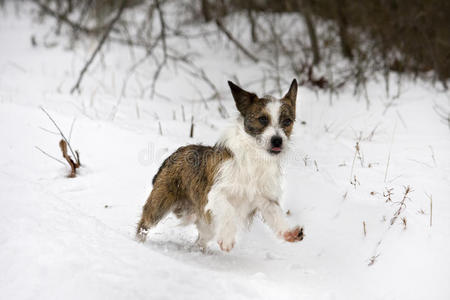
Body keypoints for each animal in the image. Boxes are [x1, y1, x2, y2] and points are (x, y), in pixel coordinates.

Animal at [135, 79, 304, 251]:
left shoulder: (265, 199)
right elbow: (228, 210)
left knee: (201, 239)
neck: (254, 158)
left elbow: (276, 215)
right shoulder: (215, 193)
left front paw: (289, 232)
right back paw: (137, 243)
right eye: (262, 119)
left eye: (287, 121)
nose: (277, 140)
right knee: (144, 223)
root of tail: (174, 154)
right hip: (160, 204)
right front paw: (227, 238)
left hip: (204, 223)